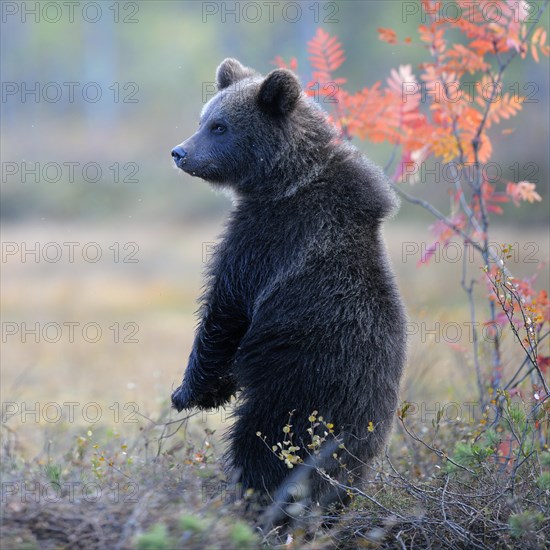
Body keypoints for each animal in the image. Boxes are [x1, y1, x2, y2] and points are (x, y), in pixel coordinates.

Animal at [172, 58, 410, 506]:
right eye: (203, 119)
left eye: (219, 126)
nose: (180, 152)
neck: (286, 180)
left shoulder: (268, 240)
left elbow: (225, 310)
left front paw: (190, 391)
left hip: (294, 391)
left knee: (261, 448)